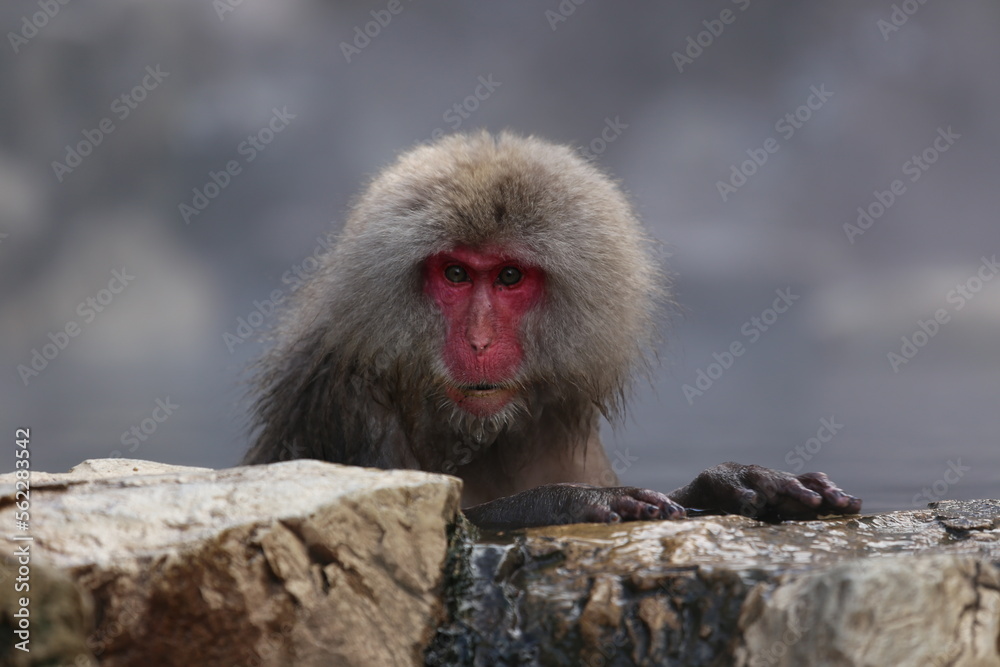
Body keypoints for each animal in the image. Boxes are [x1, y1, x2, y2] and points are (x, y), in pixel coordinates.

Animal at [243, 131, 861, 530]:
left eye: (510, 276)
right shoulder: (345, 407)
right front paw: (567, 501)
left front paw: (728, 483)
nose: (479, 341)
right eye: (456, 273)